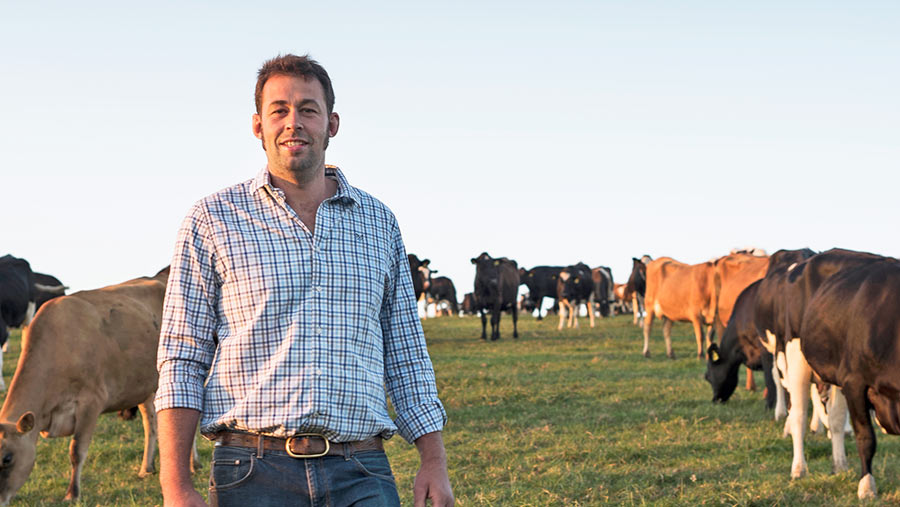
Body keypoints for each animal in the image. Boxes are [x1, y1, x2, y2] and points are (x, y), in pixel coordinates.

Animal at [0, 266, 199, 504]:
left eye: (7, 458)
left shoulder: (91, 402)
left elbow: (76, 451)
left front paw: (72, 494)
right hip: (145, 383)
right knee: (151, 421)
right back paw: (147, 467)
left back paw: (193, 464)